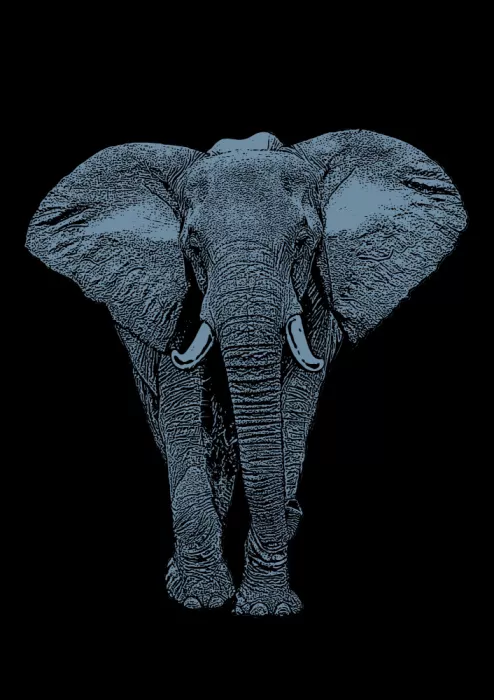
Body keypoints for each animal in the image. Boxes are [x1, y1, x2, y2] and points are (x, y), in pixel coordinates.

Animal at [24, 129, 467, 616]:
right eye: (193, 247)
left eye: (302, 242)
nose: (296, 509)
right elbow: (184, 410)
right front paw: (199, 597)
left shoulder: (318, 293)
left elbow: (292, 409)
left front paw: (266, 607)